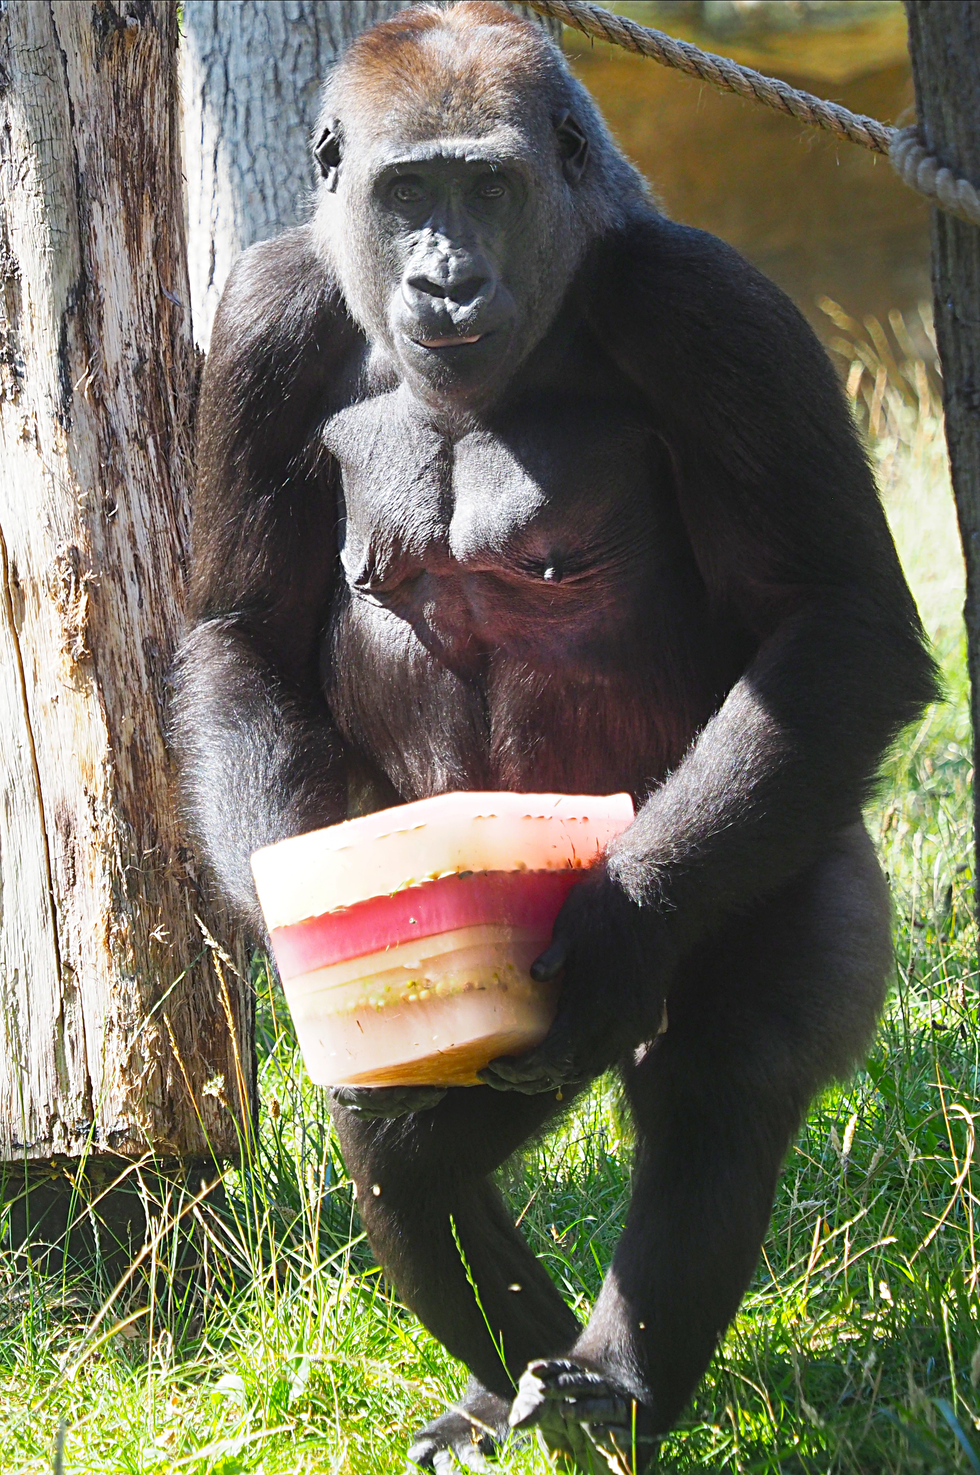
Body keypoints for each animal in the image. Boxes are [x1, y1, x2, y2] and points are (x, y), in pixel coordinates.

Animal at [173, 3, 937, 1468]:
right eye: (407, 191)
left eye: (488, 188)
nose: (444, 277)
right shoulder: (265, 318)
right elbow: (237, 635)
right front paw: (284, 905)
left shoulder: (709, 308)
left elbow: (837, 616)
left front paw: (625, 913)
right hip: (493, 1047)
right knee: (409, 1137)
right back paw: (516, 1384)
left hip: (765, 871)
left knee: (714, 1067)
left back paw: (614, 1386)